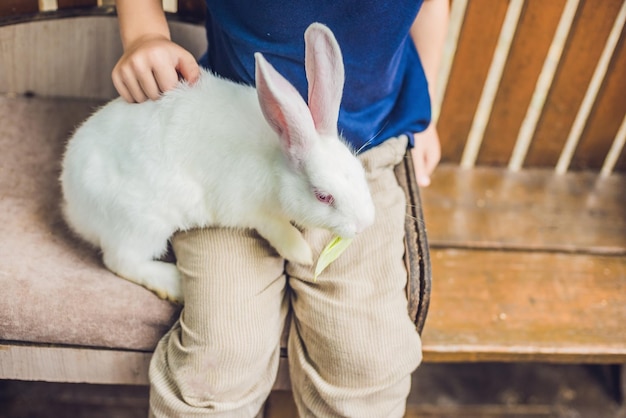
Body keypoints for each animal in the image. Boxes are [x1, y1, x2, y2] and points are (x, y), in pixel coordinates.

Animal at [59, 22, 370, 302]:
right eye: (323, 196)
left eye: (360, 171)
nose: (363, 225)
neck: (277, 162)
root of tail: (74, 206)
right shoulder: (245, 208)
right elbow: (276, 227)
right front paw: (301, 251)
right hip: (141, 224)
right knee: (120, 261)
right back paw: (174, 284)